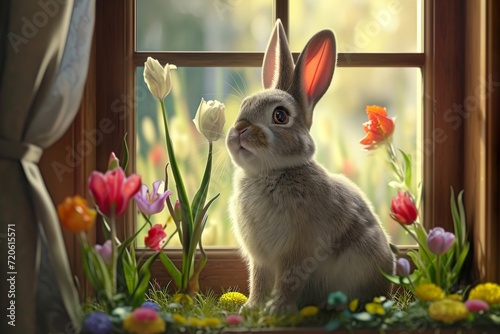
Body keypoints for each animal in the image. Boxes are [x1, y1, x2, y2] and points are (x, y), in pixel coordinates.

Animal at [227, 20, 394, 314]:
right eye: (245, 105)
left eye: (280, 116)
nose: (240, 129)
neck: (270, 173)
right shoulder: (260, 259)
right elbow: (258, 280)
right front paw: (252, 308)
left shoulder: (297, 252)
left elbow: (288, 281)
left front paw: (276, 310)